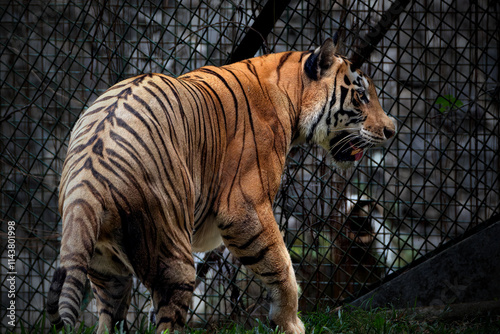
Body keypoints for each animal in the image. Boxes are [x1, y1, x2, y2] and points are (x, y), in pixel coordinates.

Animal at [48, 37, 396, 334]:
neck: (291, 95)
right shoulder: (245, 208)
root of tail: (87, 179)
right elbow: (282, 267)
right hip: (173, 256)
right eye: (361, 96)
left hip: (108, 271)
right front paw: (290, 323)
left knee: (111, 316)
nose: (391, 130)